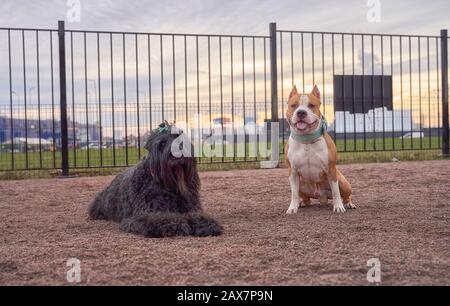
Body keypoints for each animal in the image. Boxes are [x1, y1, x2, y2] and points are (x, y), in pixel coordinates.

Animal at [87, 123, 222, 238]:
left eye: (179, 138)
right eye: (162, 143)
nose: (178, 152)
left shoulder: (191, 207)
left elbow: (197, 216)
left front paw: (205, 224)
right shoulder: (144, 214)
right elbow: (158, 219)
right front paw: (174, 224)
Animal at [284, 85, 356, 214]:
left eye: (311, 105)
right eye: (294, 105)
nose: (301, 112)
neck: (306, 140)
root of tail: (321, 196)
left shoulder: (331, 169)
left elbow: (336, 192)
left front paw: (338, 206)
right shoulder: (292, 172)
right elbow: (294, 194)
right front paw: (292, 208)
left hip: (343, 182)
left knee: (345, 195)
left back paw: (348, 204)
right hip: (301, 184)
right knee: (305, 198)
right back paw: (302, 203)